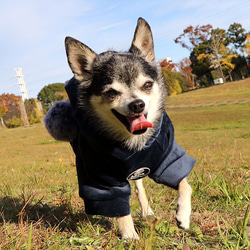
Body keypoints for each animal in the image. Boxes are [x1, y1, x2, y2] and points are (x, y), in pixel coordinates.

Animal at [45, 17, 195, 240]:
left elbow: (184, 182)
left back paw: (147, 212)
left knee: (140, 188)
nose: (137, 104)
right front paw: (131, 237)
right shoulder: (101, 179)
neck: (133, 143)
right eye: (112, 93)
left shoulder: (167, 156)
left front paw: (183, 215)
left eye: (148, 85)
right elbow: (119, 208)